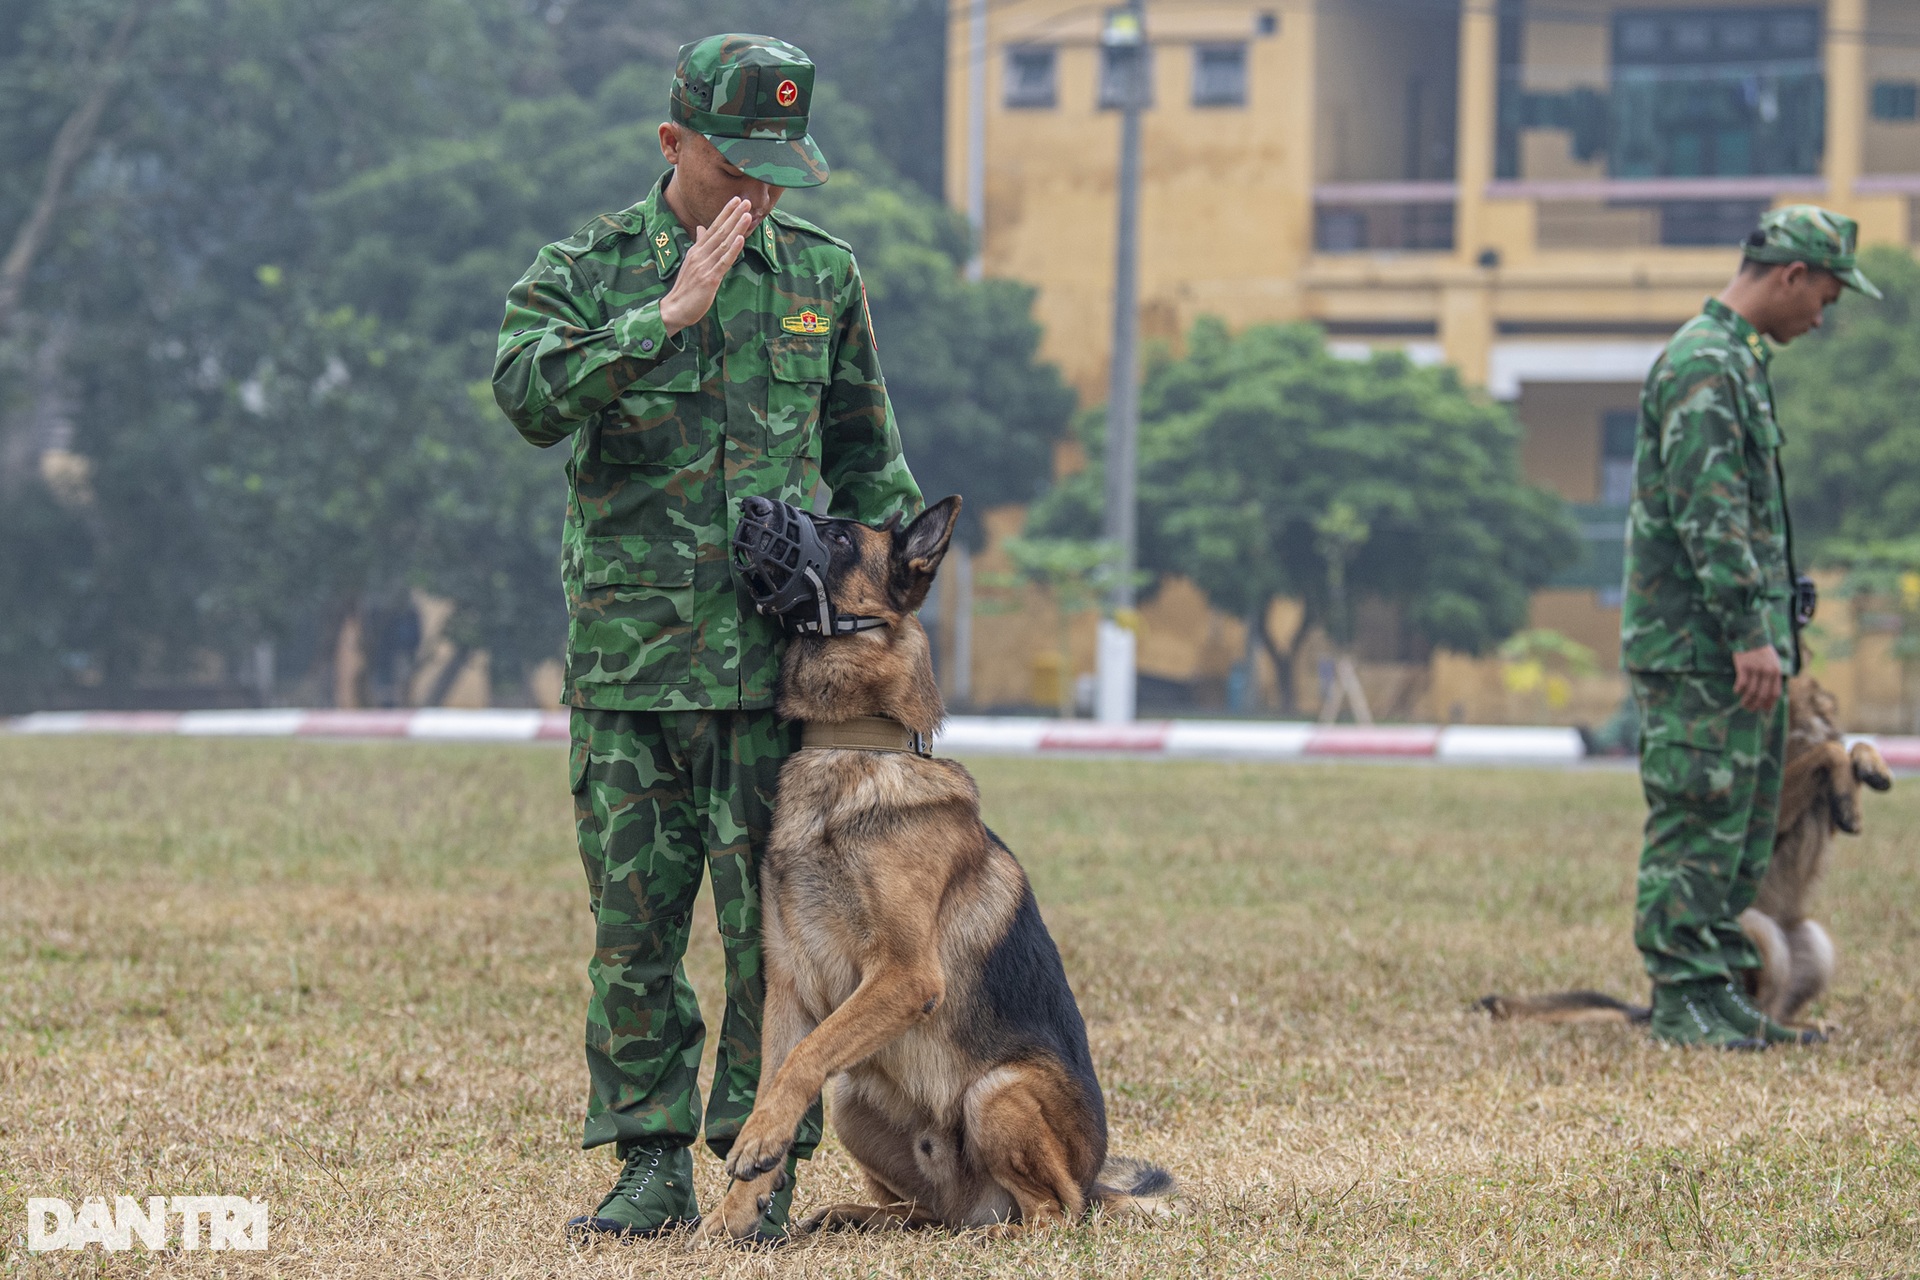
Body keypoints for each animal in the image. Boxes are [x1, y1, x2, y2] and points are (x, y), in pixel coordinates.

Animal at [702, 495, 1167, 1243]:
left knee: (1053, 1214)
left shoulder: (904, 975)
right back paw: (855, 1215)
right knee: (931, 1213)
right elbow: (778, 1076)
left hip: (997, 1092)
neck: (856, 748)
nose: (751, 505)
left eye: (838, 534)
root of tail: (1097, 1180)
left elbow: (802, 1061)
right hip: (856, 1099)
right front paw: (734, 1210)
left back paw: (996, 1233)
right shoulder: (792, 986)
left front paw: (755, 1148)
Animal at [1482, 679, 1889, 1028]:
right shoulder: (1766, 812)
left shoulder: (1822, 815)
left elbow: (1849, 751)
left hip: (1815, 943)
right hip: (1759, 929)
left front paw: (1868, 773)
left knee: (1778, 1006)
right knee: (1758, 1006)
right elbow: (1828, 752)